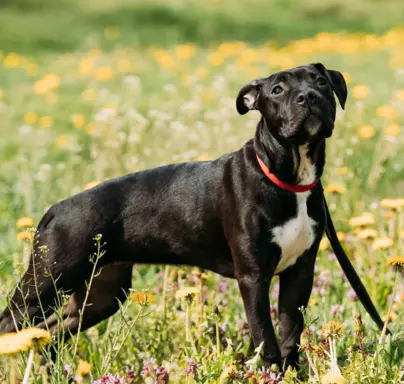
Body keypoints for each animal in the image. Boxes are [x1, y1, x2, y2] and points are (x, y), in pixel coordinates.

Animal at [0, 63, 386, 372]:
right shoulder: (253, 277)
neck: (289, 178)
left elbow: (290, 332)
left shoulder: (300, 271)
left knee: (51, 334)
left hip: (101, 293)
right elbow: (266, 336)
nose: (308, 96)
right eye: (277, 90)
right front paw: (270, 373)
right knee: (11, 324)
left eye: (321, 82)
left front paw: (293, 375)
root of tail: (55, 210)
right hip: (47, 282)